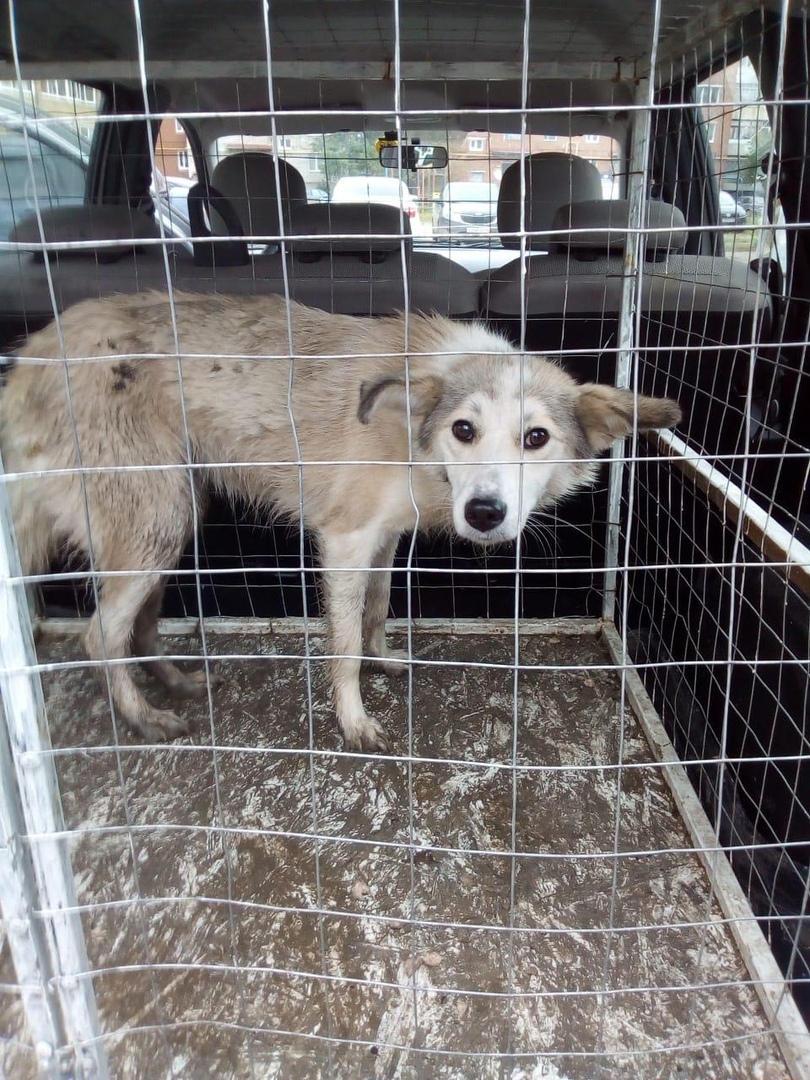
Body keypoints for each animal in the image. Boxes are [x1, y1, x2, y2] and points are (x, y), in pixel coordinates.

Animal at [0, 291, 682, 756]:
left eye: (536, 438)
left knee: (136, 624)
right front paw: (353, 720)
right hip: (155, 519)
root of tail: (33, 355)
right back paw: (143, 717)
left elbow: (377, 609)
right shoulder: (344, 539)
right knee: (98, 635)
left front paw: (385, 660)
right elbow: (345, 642)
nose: (484, 513)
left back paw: (173, 682)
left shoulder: (386, 538)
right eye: (464, 429)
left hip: (170, 518)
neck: (413, 436)